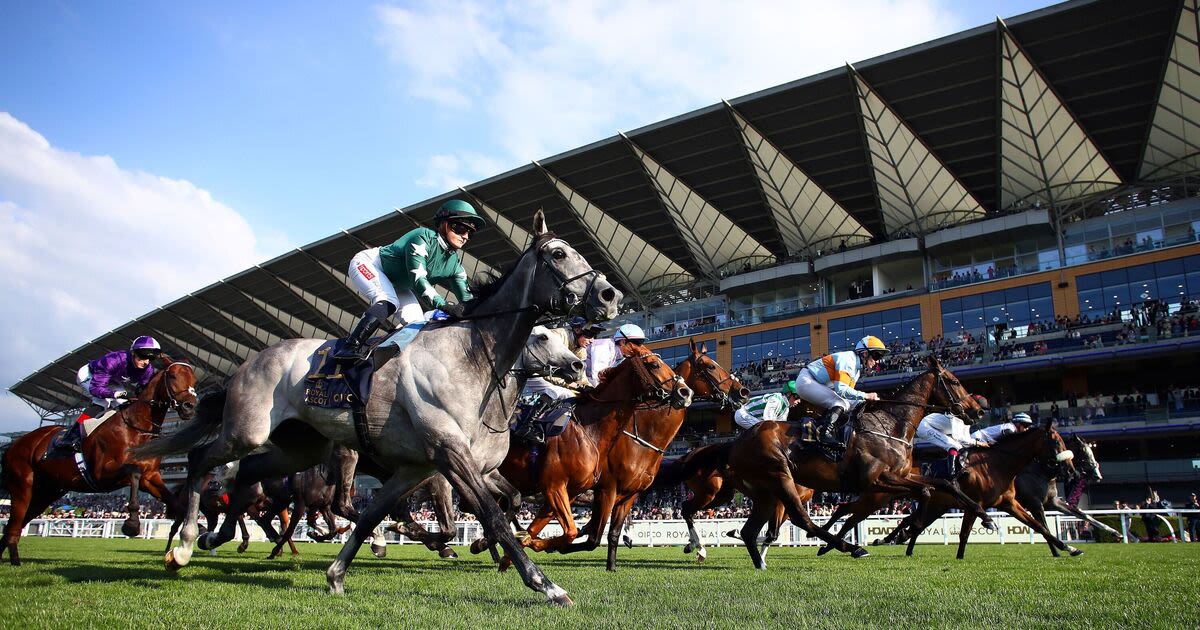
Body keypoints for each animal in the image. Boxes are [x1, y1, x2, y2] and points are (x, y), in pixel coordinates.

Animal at [0, 357, 195, 564]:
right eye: (173, 376)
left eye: (194, 379)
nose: (189, 407)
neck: (136, 427)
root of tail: (14, 443)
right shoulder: (102, 473)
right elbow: (133, 472)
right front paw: (132, 524)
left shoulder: (150, 477)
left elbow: (175, 502)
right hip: (22, 485)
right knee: (14, 525)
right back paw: (15, 561)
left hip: (46, 492)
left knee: (15, 525)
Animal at [137, 212, 624, 604]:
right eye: (558, 254)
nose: (609, 296)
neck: (468, 358)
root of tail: (248, 361)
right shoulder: (451, 457)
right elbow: (493, 517)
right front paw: (546, 585)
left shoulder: (418, 467)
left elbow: (374, 514)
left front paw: (337, 574)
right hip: (249, 428)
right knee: (202, 458)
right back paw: (183, 544)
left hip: (299, 447)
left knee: (252, 474)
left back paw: (212, 537)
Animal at [494, 338, 691, 568]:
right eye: (653, 364)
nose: (685, 392)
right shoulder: (570, 487)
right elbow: (579, 533)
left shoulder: (591, 492)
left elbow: (546, 528)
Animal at [724, 352, 988, 568]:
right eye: (954, 382)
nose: (978, 411)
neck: (891, 426)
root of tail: (736, 444)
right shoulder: (874, 480)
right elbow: (925, 491)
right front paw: (906, 531)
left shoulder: (901, 475)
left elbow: (942, 484)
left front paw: (984, 516)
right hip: (780, 477)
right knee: (802, 519)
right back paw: (851, 548)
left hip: (766, 492)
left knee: (750, 531)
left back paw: (761, 562)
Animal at [868, 420, 1084, 556]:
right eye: (1056, 441)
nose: (1071, 470)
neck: (996, 465)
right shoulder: (975, 504)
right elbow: (964, 534)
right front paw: (960, 557)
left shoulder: (1010, 504)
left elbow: (1040, 526)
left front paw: (1070, 549)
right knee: (909, 522)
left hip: (937, 505)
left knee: (912, 522)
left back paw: (897, 541)